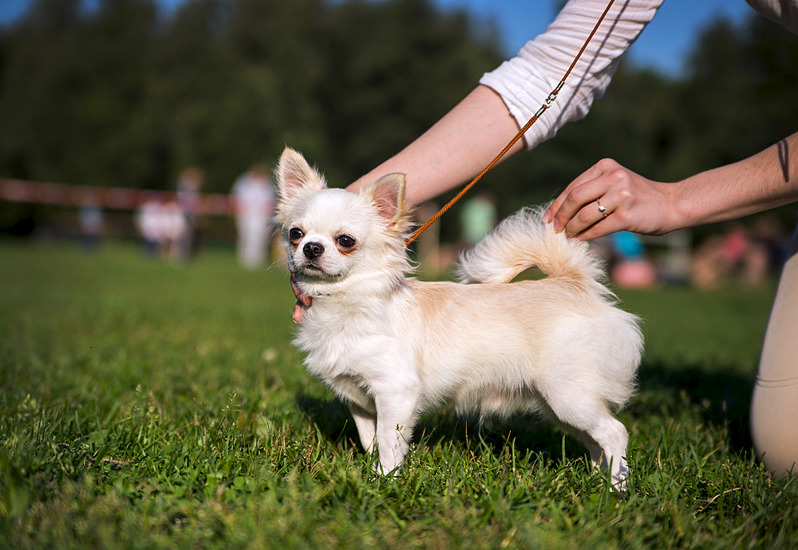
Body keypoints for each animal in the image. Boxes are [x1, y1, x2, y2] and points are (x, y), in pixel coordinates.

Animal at [276, 148, 644, 492]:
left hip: (568, 395)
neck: (343, 302)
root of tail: (572, 283)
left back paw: (616, 490)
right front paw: (373, 472)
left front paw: (385, 481)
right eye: (295, 234)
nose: (311, 248)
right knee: (595, 441)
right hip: (558, 403)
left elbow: (389, 442)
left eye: (345, 241)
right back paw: (596, 481)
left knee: (615, 433)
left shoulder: (396, 391)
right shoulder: (360, 400)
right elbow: (372, 439)